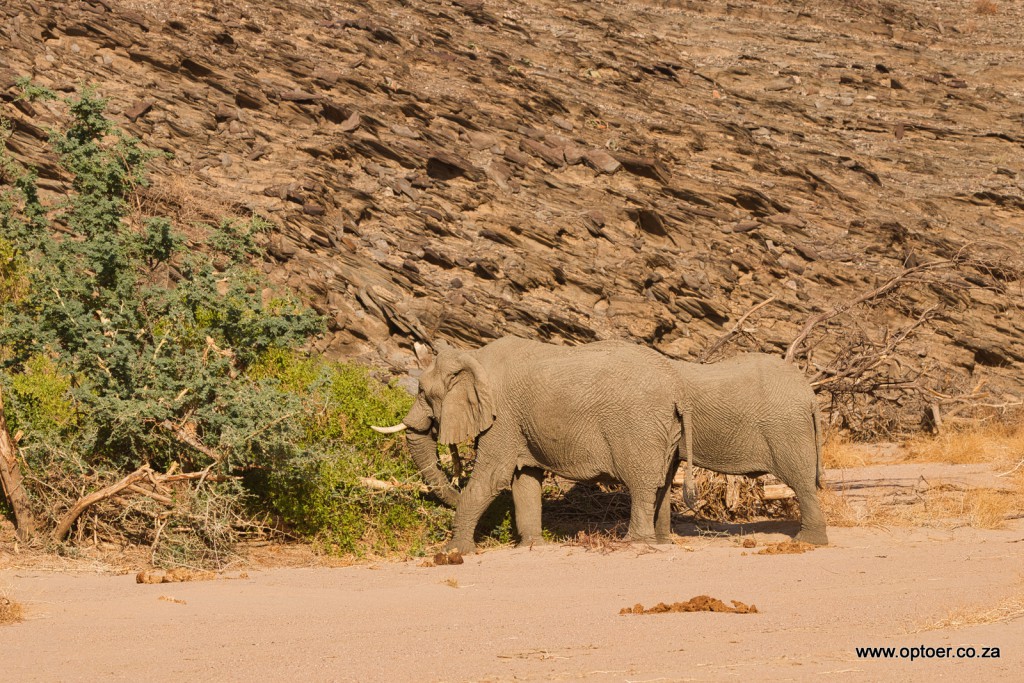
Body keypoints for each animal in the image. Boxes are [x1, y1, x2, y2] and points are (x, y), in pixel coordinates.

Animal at [372, 336, 693, 553]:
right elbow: (524, 480)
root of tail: (678, 389)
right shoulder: (518, 424)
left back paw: (636, 543)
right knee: (662, 483)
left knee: (642, 484)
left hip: (638, 426)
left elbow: (491, 479)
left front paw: (453, 552)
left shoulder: (502, 417)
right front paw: (531, 546)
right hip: (666, 428)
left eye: (422, 392)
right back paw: (661, 544)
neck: (474, 356)